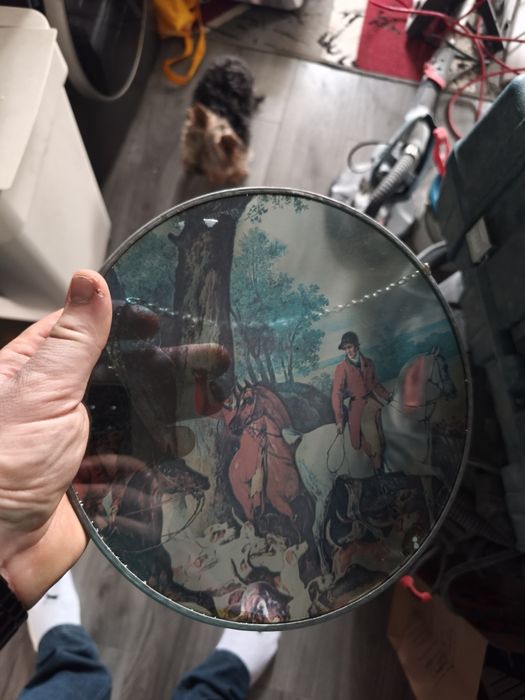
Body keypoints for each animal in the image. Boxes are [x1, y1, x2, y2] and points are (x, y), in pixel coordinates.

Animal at [181, 56, 262, 185]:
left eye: (210, 160)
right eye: (192, 149)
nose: (197, 170)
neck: (221, 119)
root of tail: (230, 58)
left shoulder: (242, 139)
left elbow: (241, 158)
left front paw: (237, 173)